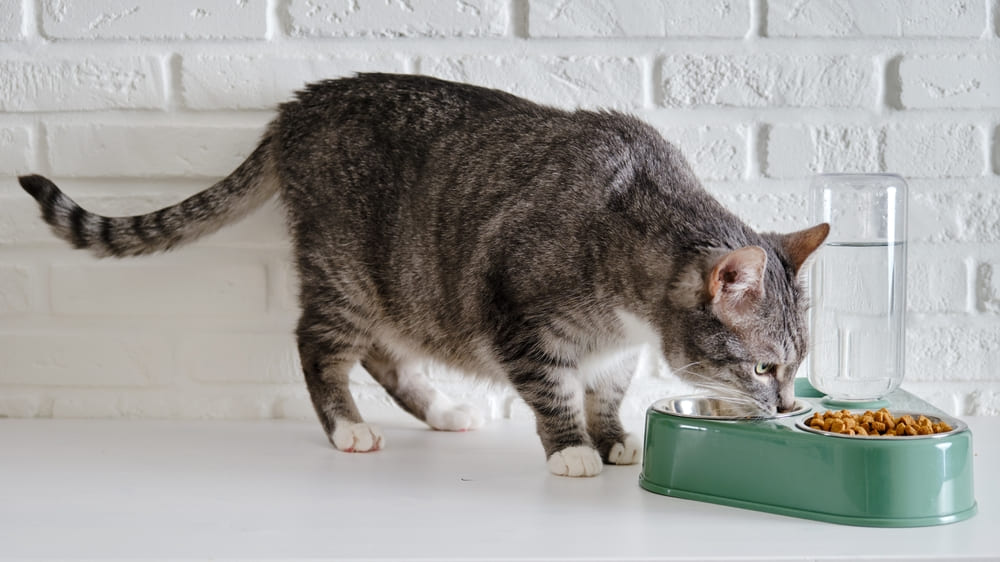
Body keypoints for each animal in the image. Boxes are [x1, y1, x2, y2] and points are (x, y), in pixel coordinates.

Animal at [17, 73, 828, 476]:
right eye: (765, 367)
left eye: (796, 366)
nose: (790, 404)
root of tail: (292, 110)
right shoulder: (514, 312)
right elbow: (553, 389)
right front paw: (570, 449)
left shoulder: (618, 348)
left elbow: (606, 389)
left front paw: (613, 436)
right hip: (349, 269)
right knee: (320, 344)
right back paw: (348, 427)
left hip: (398, 288)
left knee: (383, 351)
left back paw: (440, 408)